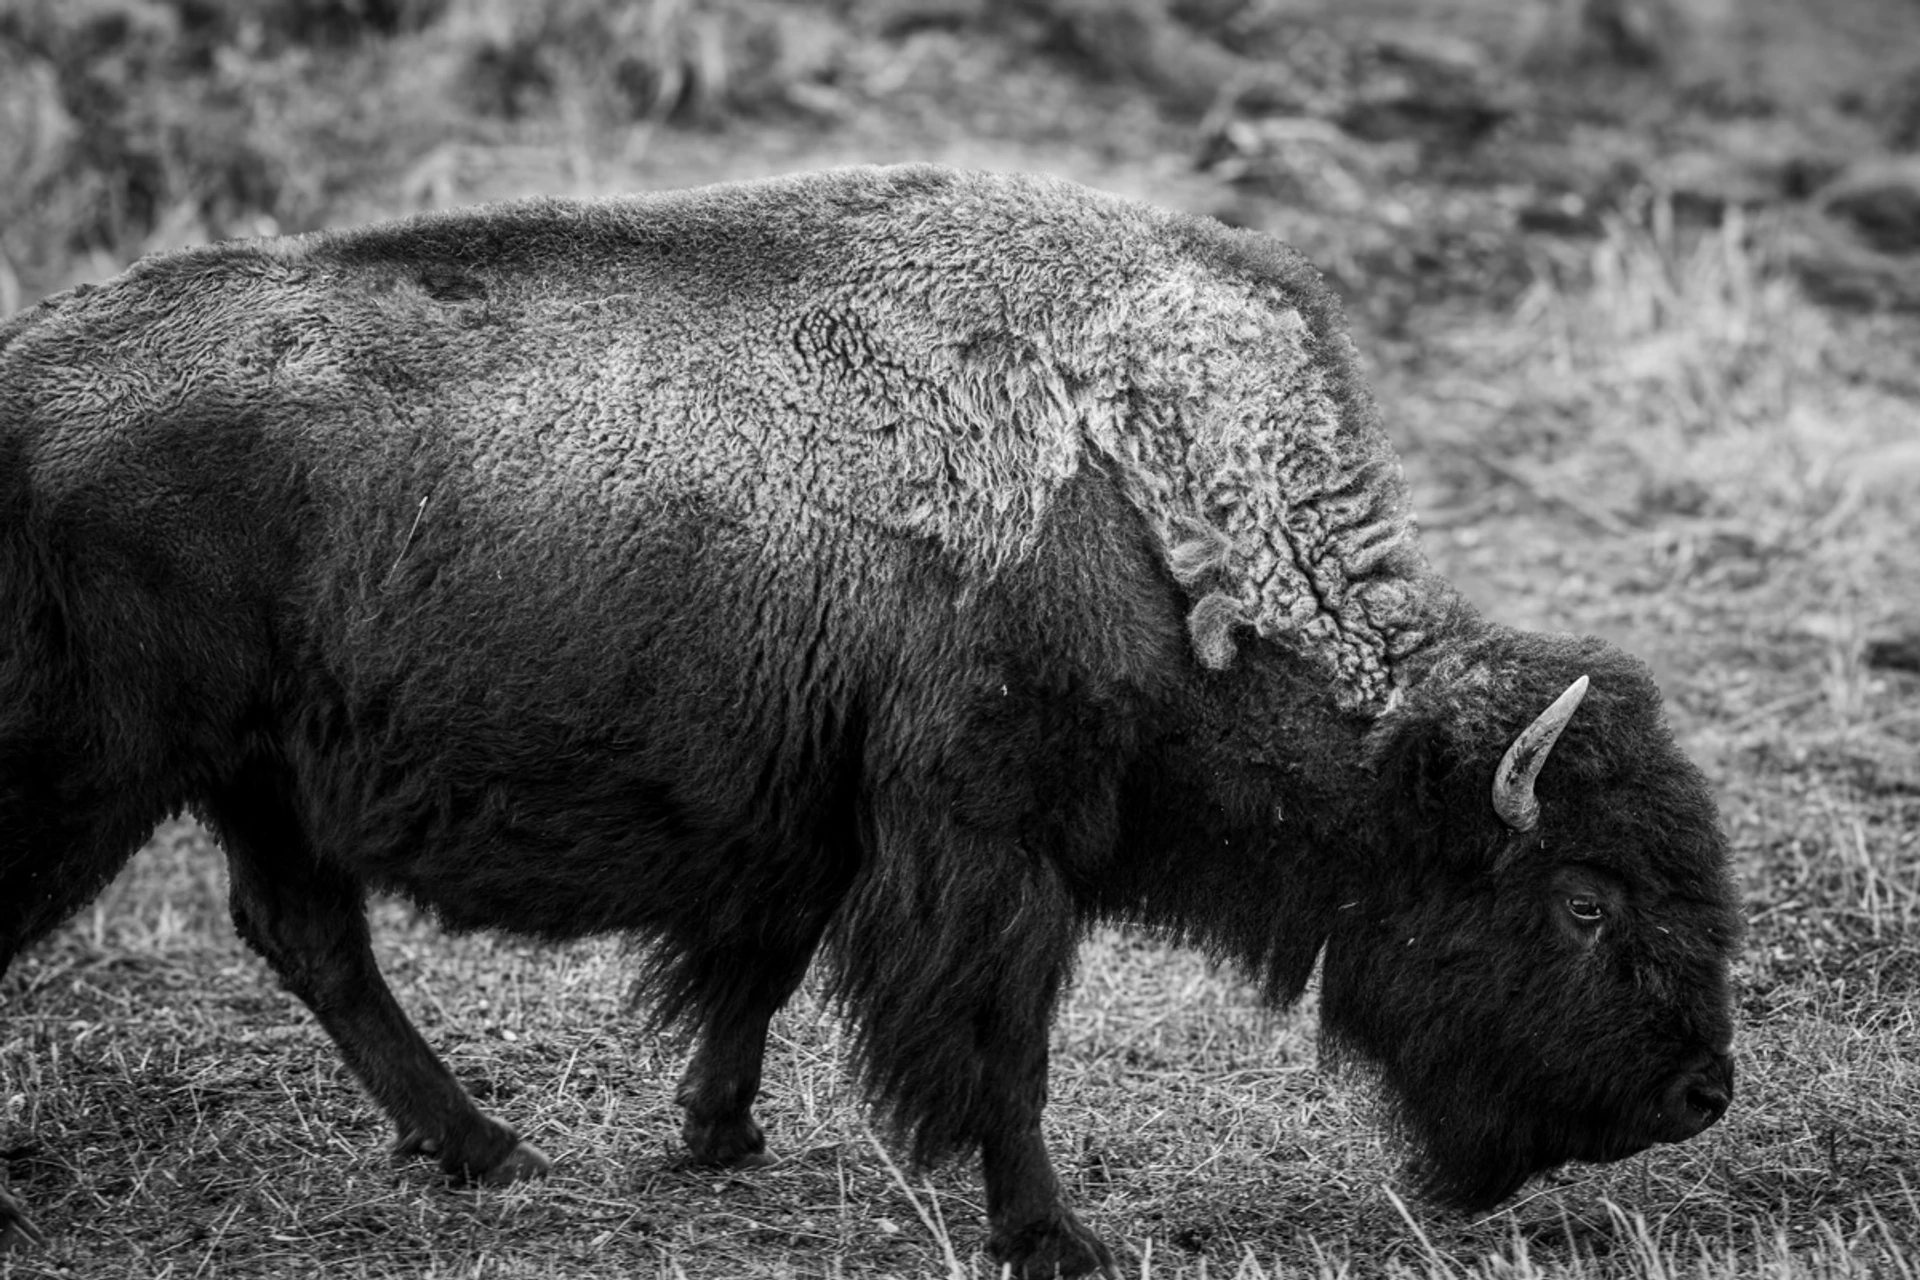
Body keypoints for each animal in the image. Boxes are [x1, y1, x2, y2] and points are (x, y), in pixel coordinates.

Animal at [0, 164, 1740, 1276]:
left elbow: (757, 977)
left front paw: (714, 1136)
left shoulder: (816, 828)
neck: (1144, 499)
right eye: (1583, 905)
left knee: (309, 934)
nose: (1699, 1095)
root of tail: (25, 375)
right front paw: (1056, 1239)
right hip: (101, 771)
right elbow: (1001, 1048)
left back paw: (487, 1149)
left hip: (253, 777)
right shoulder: (990, 846)